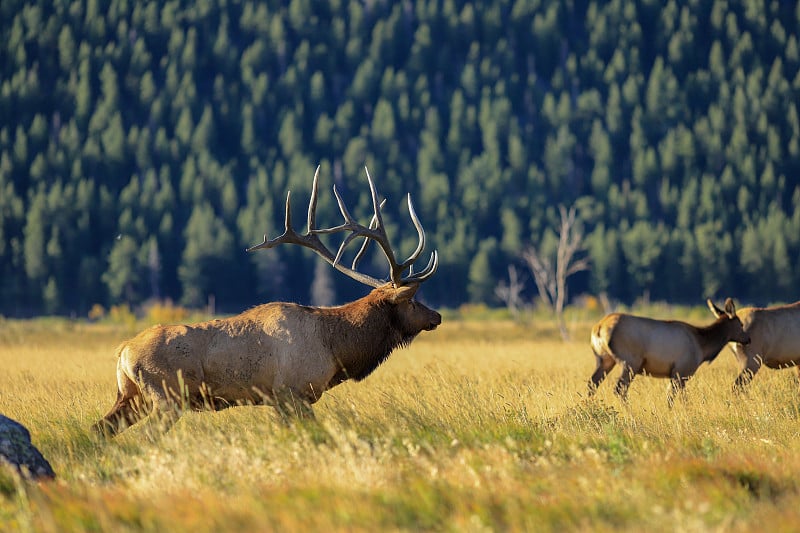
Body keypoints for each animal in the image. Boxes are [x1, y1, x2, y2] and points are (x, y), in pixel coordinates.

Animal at [97, 166, 444, 436]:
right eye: (413, 301)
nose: (437, 316)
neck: (336, 348)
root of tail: (122, 352)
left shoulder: (280, 399)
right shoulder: (291, 393)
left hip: (131, 397)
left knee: (100, 428)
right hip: (167, 397)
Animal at [588, 300, 752, 404]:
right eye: (740, 324)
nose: (748, 339)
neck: (703, 347)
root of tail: (598, 328)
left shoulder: (678, 374)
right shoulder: (681, 370)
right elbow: (673, 398)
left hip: (604, 359)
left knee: (592, 383)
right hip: (630, 361)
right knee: (619, 389)